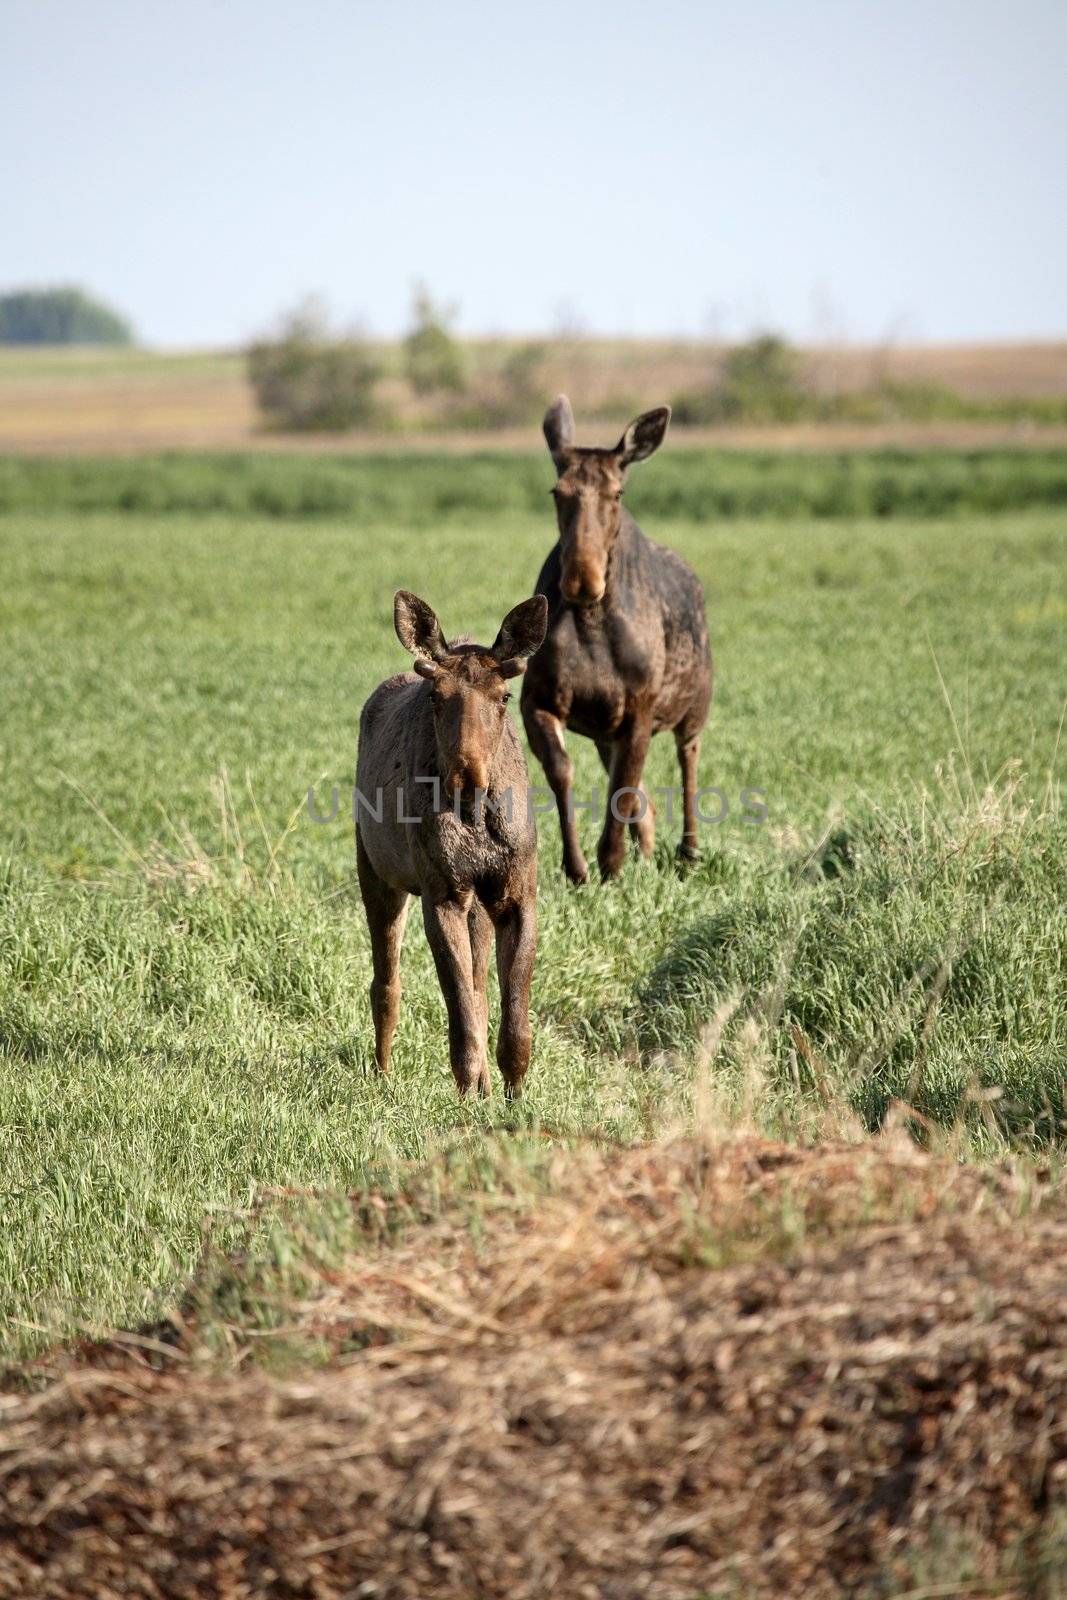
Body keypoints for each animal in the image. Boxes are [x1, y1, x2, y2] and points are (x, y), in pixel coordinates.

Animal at [356, 588, 547, 1100]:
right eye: (437, 697)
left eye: (504, 696)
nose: (467, 781)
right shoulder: (440, 894)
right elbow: (460, 1024)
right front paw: (467, 1100)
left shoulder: (516, 894)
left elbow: (514, 1025)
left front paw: (512, 1098)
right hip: (376, 871)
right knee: (386, 983)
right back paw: (381, 1075)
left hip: (475, 902)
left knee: (479, 988)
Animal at [521, 393, 713, 883]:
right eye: (557, 491)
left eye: (618, 493)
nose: (582, 579)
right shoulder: (539, 700)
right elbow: (565, 771)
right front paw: (577, 867)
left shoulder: (641, 706)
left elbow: (624, 787)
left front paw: (611, 864)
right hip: (606, 730)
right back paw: (646, 850)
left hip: (694, 706)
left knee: (687, 757)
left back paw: (688, 851)